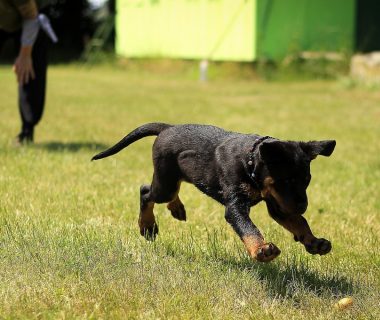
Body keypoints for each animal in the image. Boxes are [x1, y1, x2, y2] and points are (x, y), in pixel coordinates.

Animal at [92, 122, 336, 262]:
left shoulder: (279, 204)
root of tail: (167, 128)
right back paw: (148, 226)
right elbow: (249, 228)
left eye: (307, 180)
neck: (250, 163)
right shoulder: (237, 205)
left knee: (170, 192)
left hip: (175, 177)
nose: (303, 205)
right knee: (146, 192)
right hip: (165, 182)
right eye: (286, 180)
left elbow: (299, 222)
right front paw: (261, 250)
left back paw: (176, 208)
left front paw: (314, 242)